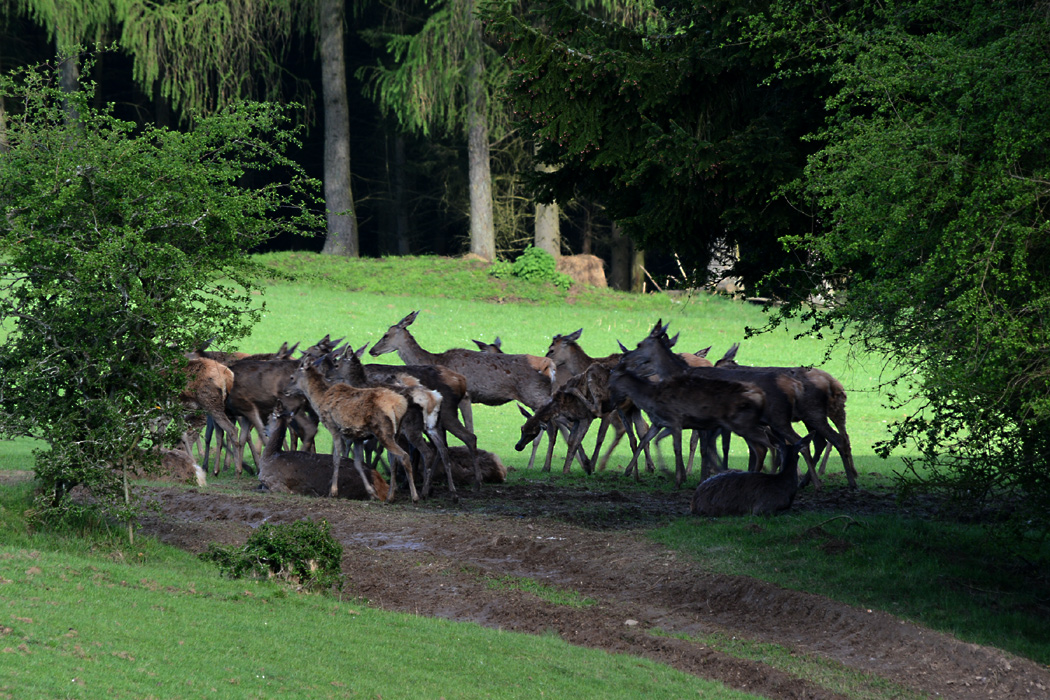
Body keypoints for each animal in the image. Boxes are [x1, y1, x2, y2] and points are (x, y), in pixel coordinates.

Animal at [258, 402, 390, 501]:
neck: (270, 456)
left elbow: (262, 488)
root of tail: (380, 481)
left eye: (269, 417)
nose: (264, 430)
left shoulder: (277, 485)